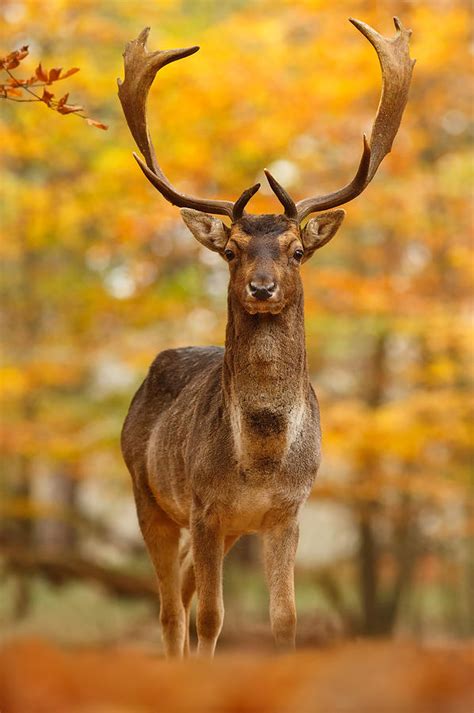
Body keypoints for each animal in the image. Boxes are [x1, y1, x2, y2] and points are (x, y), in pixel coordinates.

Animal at [118, 16, 414, 656]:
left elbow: (285, 618)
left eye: (297, 250)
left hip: (220, 526)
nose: (260, 286)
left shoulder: (286, 513)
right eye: (230, 251)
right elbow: (212, 618)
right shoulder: (204, 506)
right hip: (148, 493)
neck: (262, 459)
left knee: (182, 592)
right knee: (172, 610)